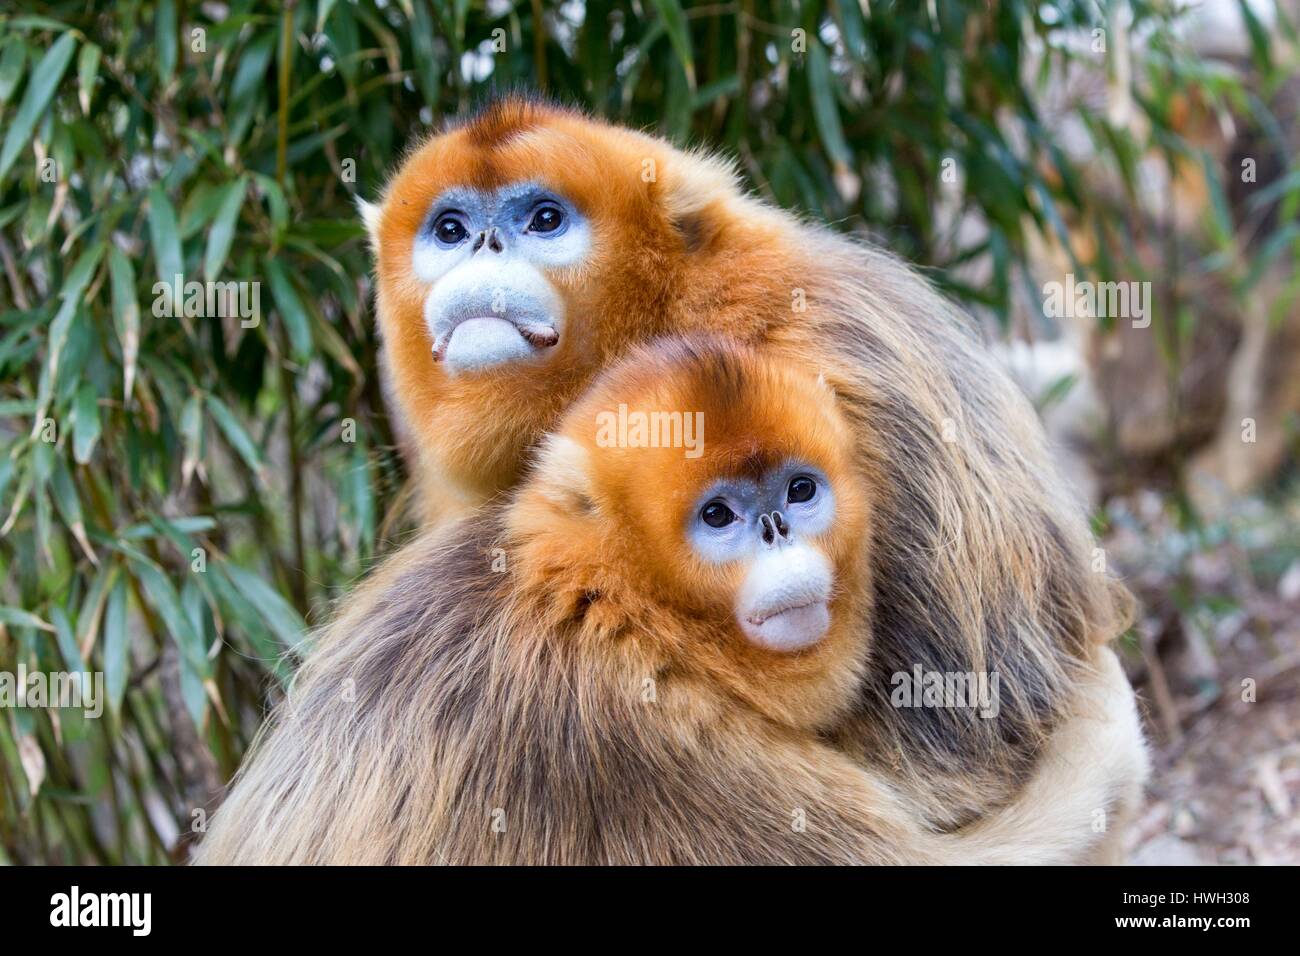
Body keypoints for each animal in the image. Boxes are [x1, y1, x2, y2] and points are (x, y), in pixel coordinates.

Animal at [195, 339, 1146, 864]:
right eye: (718, 516)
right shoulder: (644, 736)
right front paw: (1108, 721)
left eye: (799, 491)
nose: (777, 531)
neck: (596, 599)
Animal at [356, 96, 1147, 845]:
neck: (673, 313)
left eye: (543, 219)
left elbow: (959, 754)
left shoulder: (834, 365)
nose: (483, 243)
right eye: (450, 229)